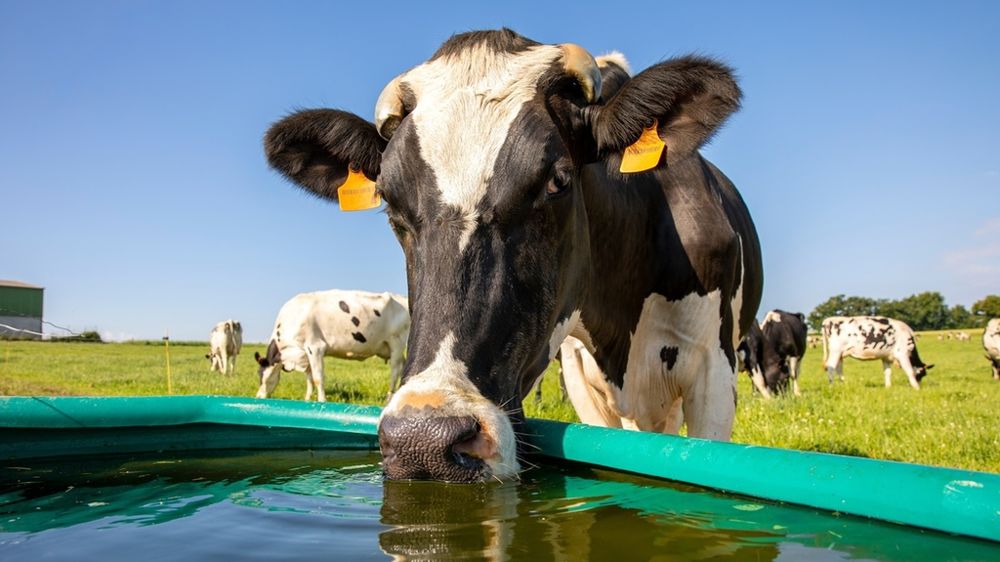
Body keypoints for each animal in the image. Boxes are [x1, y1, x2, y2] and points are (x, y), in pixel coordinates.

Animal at [254, 290, 410, 402]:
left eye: (262, 376)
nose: (258, 397)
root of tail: (403, 298)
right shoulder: (305, 354)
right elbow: (309, 378)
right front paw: (307, 399)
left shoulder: (315, 347)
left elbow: (318, 378)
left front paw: (322, 401)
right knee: (404, 365)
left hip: (397, 342)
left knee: (395, 370)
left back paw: (389, 397)